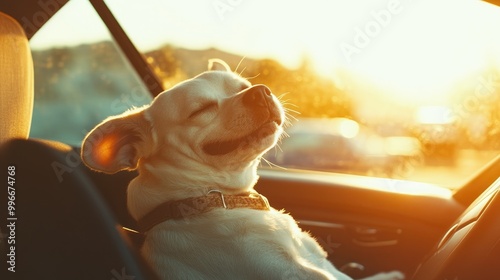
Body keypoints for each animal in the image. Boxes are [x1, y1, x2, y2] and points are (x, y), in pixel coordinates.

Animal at [81, 59, 402, 280]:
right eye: (201, 109)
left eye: (244, 87)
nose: (259, 92)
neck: (217, 198)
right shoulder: (290, 272)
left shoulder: (319, 261)